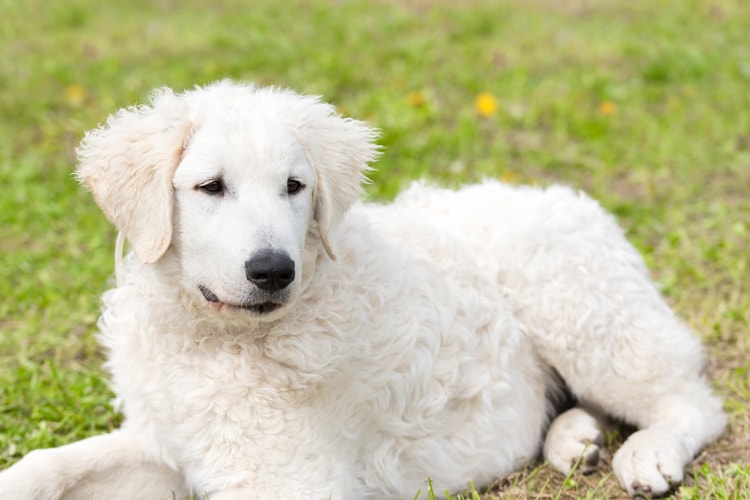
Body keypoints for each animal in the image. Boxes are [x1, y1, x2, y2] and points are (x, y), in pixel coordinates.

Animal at [0, 80, 728, 498]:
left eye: (295, 186)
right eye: (210, 187)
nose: (273, 271)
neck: (214, 339)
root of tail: (565, 197)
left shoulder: (289, 480)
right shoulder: (168, 443)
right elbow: (47, 464)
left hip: (581, 315)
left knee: (691, 400)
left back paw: (646, 454)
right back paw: (573, 440)